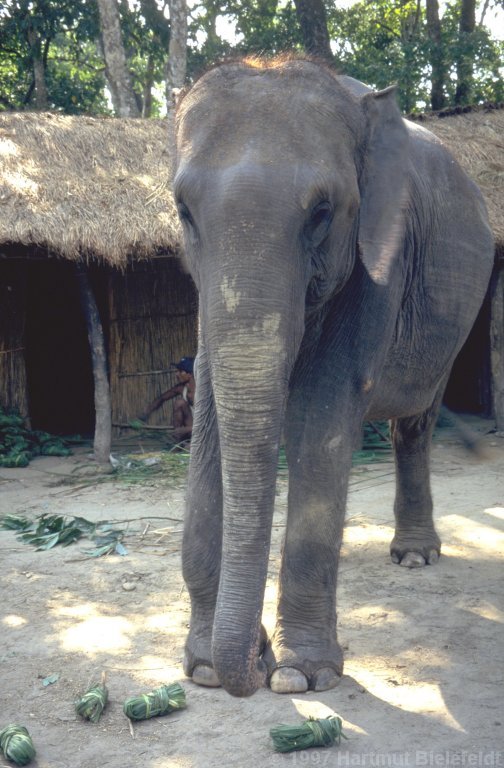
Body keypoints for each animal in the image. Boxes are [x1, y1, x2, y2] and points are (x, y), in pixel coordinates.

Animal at [172, 57, 492, 700]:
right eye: (183, 212)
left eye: (322, 213)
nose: (254, 657)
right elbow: (212, 406)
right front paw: (204, 670)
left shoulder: (381, 256)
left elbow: (322, 410)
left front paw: (299, 675)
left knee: (415, 422)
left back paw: (415, 557)